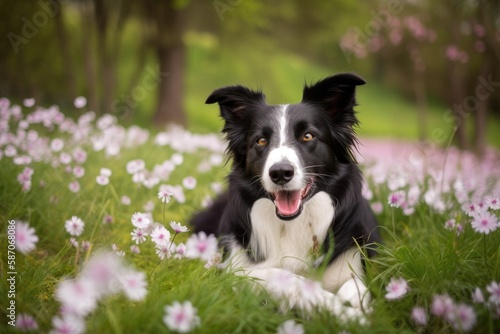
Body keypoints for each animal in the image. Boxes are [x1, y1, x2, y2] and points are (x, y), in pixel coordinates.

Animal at [191, 73, 378, 318]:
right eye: (261, 141)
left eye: (308, 136)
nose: (280, 173)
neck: (292, 224)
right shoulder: (235, 268)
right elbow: (284, 276)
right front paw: (341, 310)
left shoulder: (351, 260)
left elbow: (355, 286)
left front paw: (355, 307)